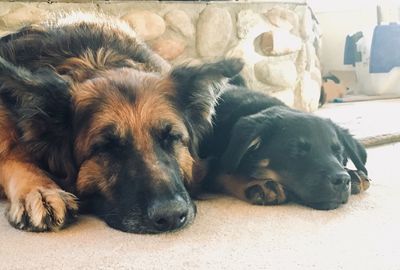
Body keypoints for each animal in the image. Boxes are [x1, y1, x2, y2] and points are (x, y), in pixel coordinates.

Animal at [0, 12, 244, 233]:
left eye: (172, 138)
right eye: (107, 147)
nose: (171, 215)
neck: (95, 56)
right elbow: (15, 157)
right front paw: (40, 190)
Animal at [200, 85, 372, 210]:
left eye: (339, 153)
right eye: (296, 150)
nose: (343, 180)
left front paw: (354, 173)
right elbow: (223, 172)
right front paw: (258, 184)